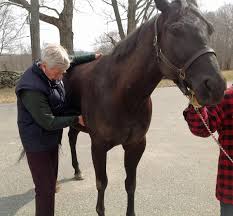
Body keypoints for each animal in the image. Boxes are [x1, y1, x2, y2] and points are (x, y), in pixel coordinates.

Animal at [63, 0, 226, 215]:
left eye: (210, 29)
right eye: (176, 29)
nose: (216, 86)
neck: (121, 94)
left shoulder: (136, 144)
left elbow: (130, 184)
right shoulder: (98, 146)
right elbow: (101, 186)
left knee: (72, 138)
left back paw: (77, 170)